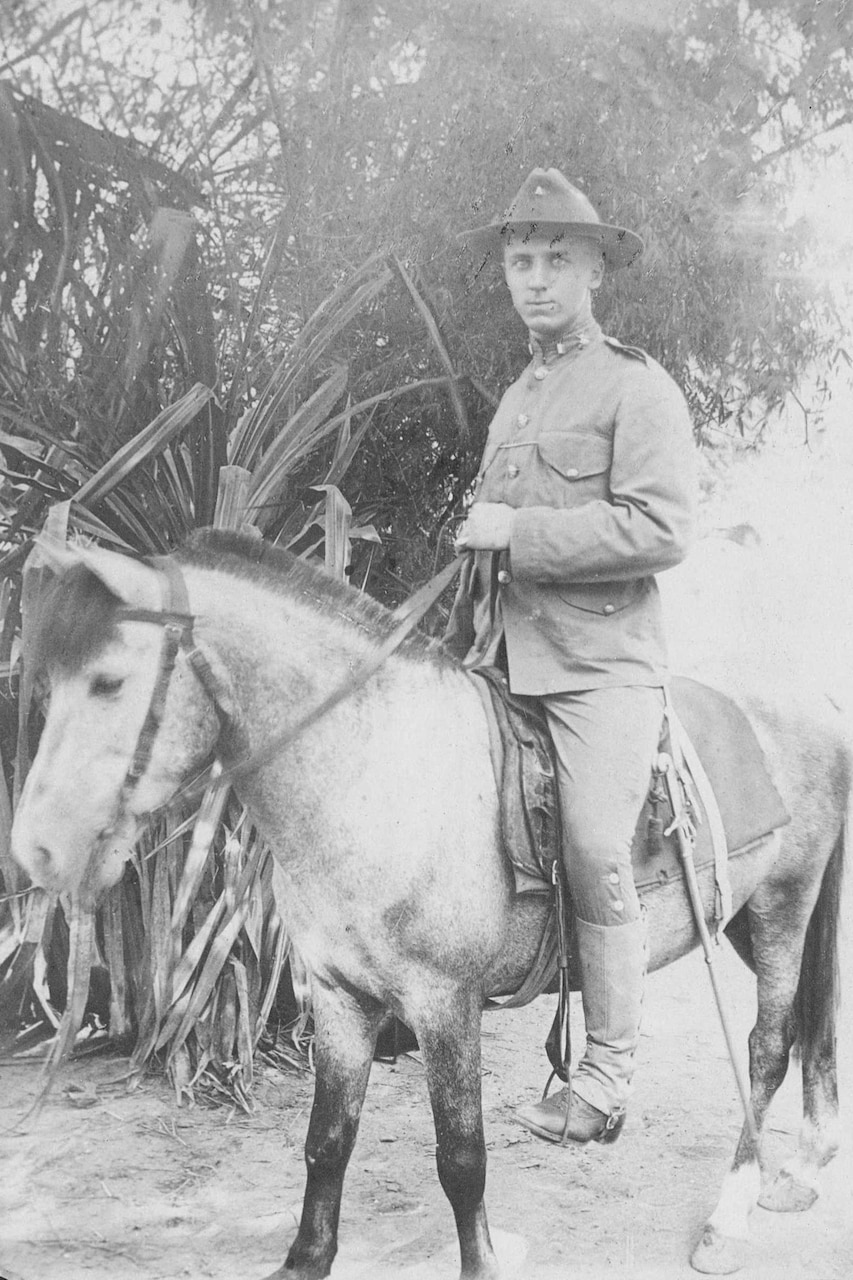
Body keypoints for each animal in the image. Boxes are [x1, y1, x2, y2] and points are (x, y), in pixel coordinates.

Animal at [11, 530, 851, 1280]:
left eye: (110, 682)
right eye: (47, 684)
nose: (34, 851)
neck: (376, 770)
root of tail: (813, 700)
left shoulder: (445, 1003)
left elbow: (460, 1158)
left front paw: (481, 1262)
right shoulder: (338, 997)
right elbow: (328, 1139)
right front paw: (306, 1259)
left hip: (782, 904)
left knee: (767, 1048)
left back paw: (726, 1217)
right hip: (744, 920)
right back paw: (802, 1166)